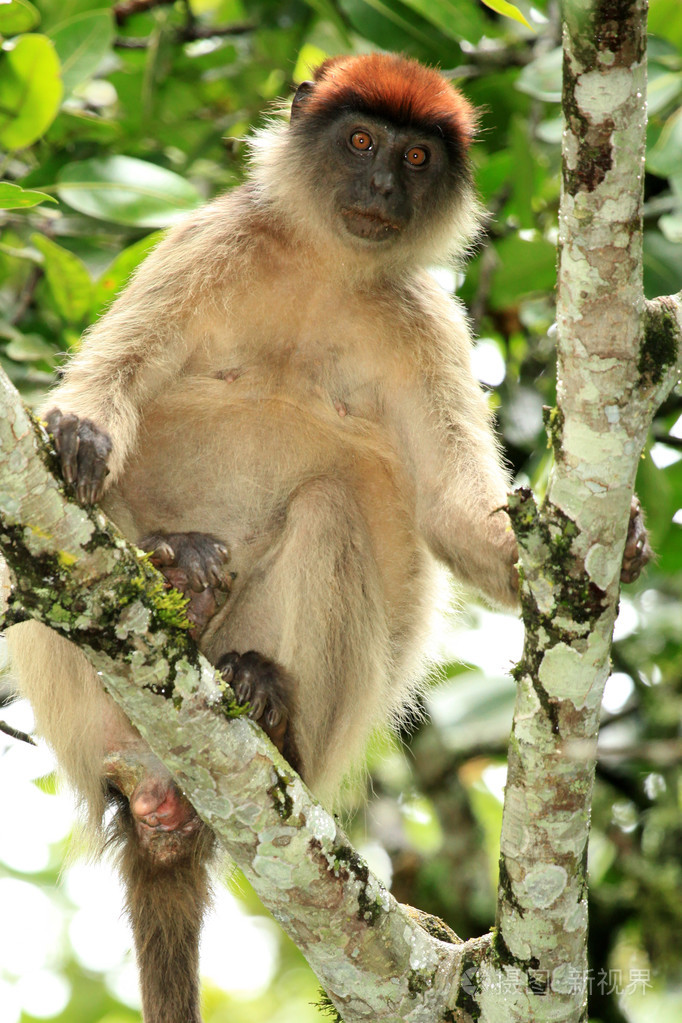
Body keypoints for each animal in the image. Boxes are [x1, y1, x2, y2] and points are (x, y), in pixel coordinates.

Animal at [3, 53, 650, 1023]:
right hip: (81, 706)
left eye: (417, 157)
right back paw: (181, 576)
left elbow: (449, 511)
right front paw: (82, 434)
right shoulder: (213, 239)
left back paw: (268, 706)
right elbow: (97, 390)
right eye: (360, 140)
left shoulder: (424, 318)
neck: (325, 267)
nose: (382, 186)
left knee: (331, 509)